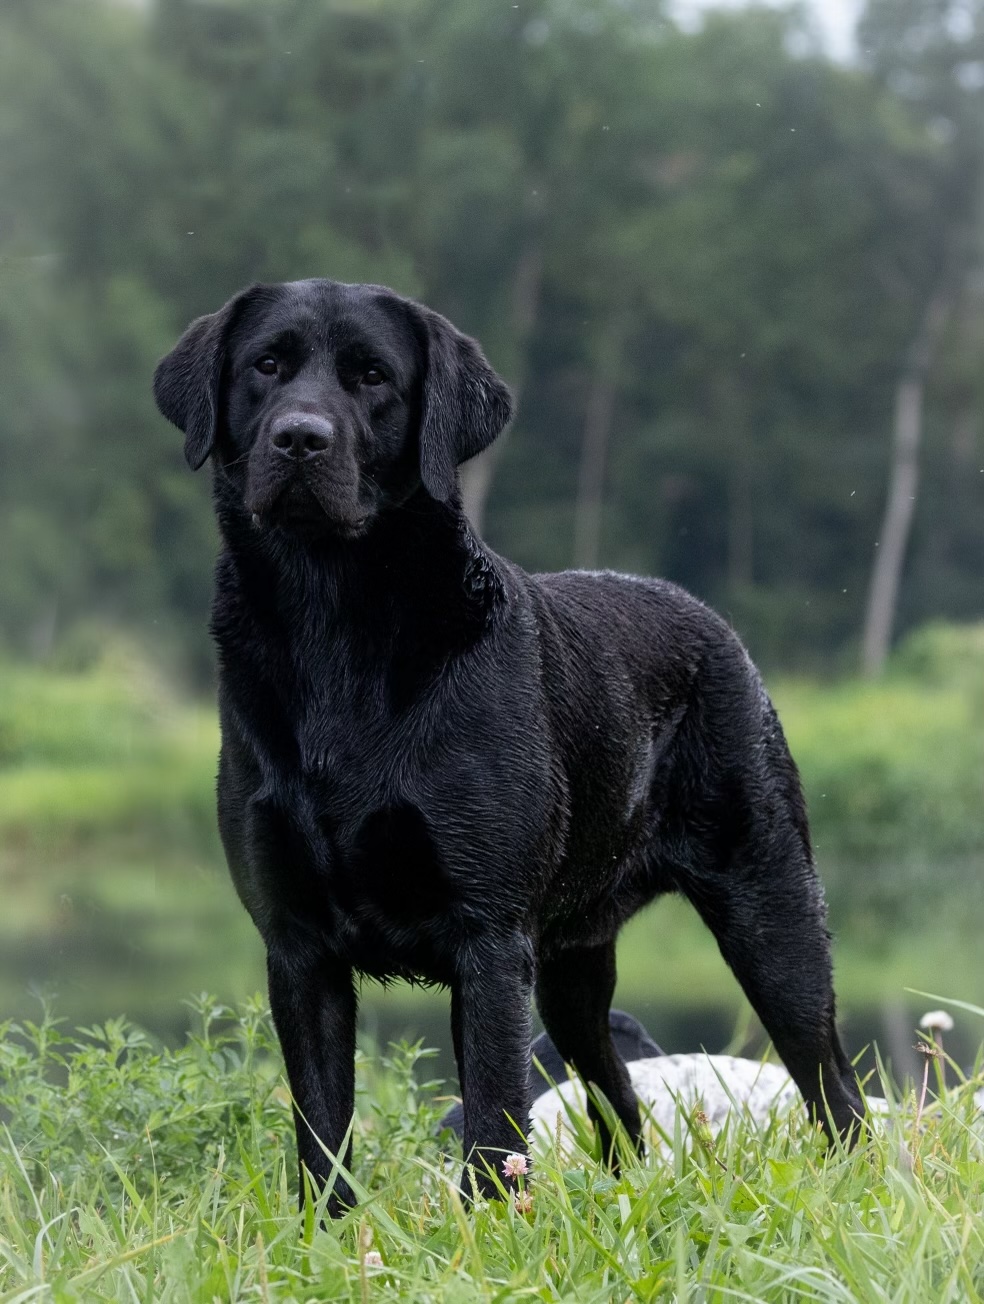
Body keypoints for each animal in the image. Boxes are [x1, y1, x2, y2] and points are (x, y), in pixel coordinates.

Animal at [154, 278, 863, 1212]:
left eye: (372, 377)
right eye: (266, 364)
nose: (300, 437)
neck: (334, 626)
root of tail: (710, 618)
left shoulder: (488, 941)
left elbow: (492, 1126)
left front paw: (483, 1231)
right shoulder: (298, 948)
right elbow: (322, 1135)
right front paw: (327, 1234)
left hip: (772, 917)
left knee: (834, 1088)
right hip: (572, 974)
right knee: (618, 1102)